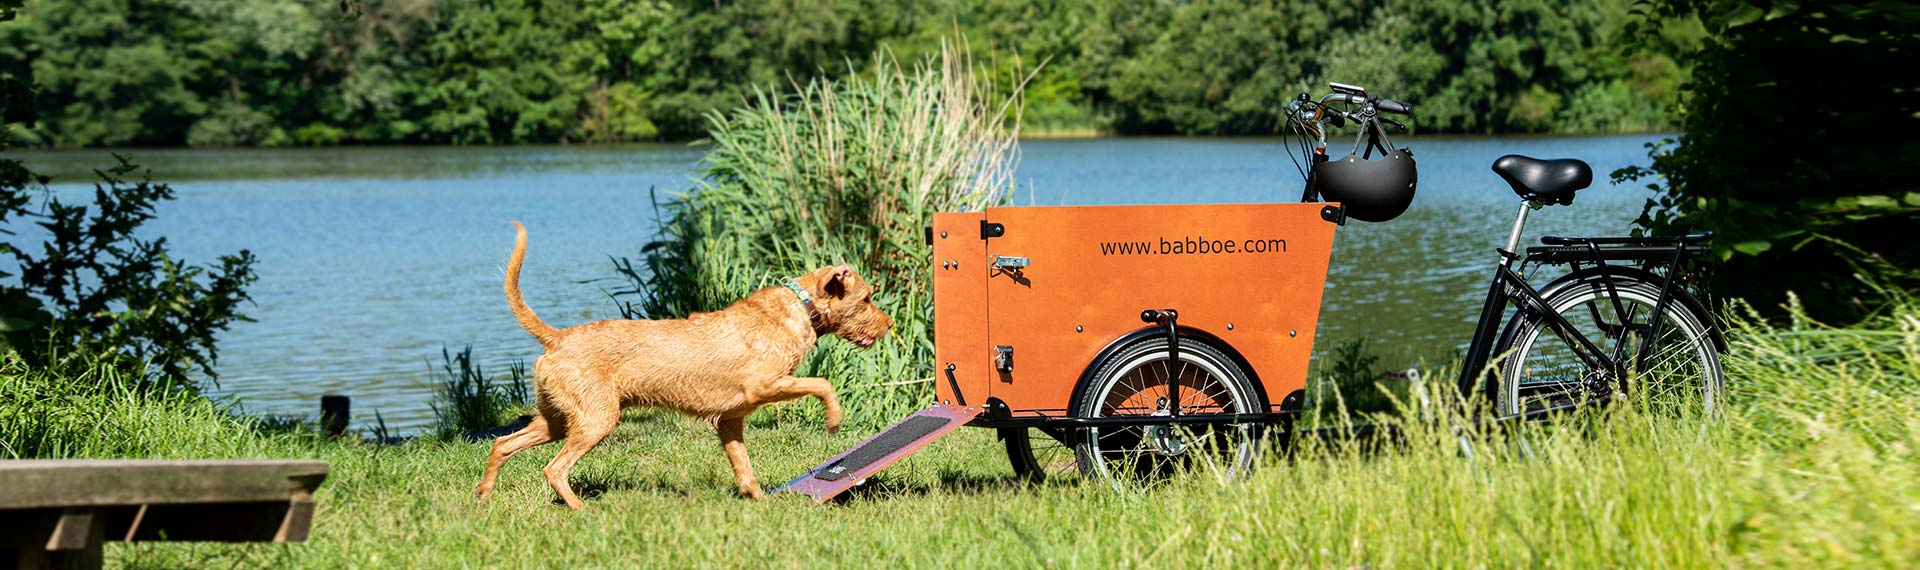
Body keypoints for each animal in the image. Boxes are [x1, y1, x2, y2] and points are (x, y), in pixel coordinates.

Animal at [472, 220, 890, 506]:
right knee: (554, 469)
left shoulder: (729, 420)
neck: (798, 307)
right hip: (595, 421)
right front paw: (834, 418)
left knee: (503, 444)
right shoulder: (764, 386)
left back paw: (485, 495)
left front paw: (760, 500)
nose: (890, 324)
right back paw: (579, 508)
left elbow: (743, 465)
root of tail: (559, 337)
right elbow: (822, 384)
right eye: (867, 298)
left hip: (558, 419)